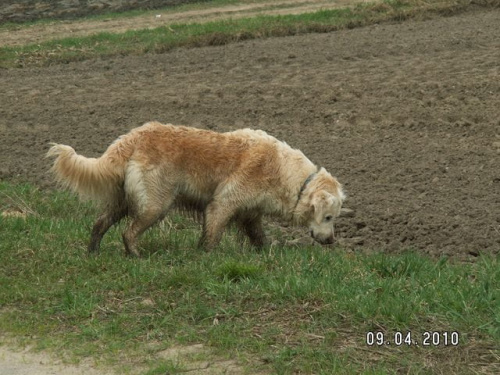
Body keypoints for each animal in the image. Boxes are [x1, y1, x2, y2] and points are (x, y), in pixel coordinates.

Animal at [46, 122, 344, 258]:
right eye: (329, 217)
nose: (331, 241)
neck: (292, 177)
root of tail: (133, 137)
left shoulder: (250, 213)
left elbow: (258, 236)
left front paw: (265, 252)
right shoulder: (223, 203)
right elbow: (211, 236)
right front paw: (206, 257)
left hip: (123, 201)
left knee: (100, 223)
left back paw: (93, 252)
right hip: (155, 204)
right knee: (128, 232)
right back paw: (135, 255)